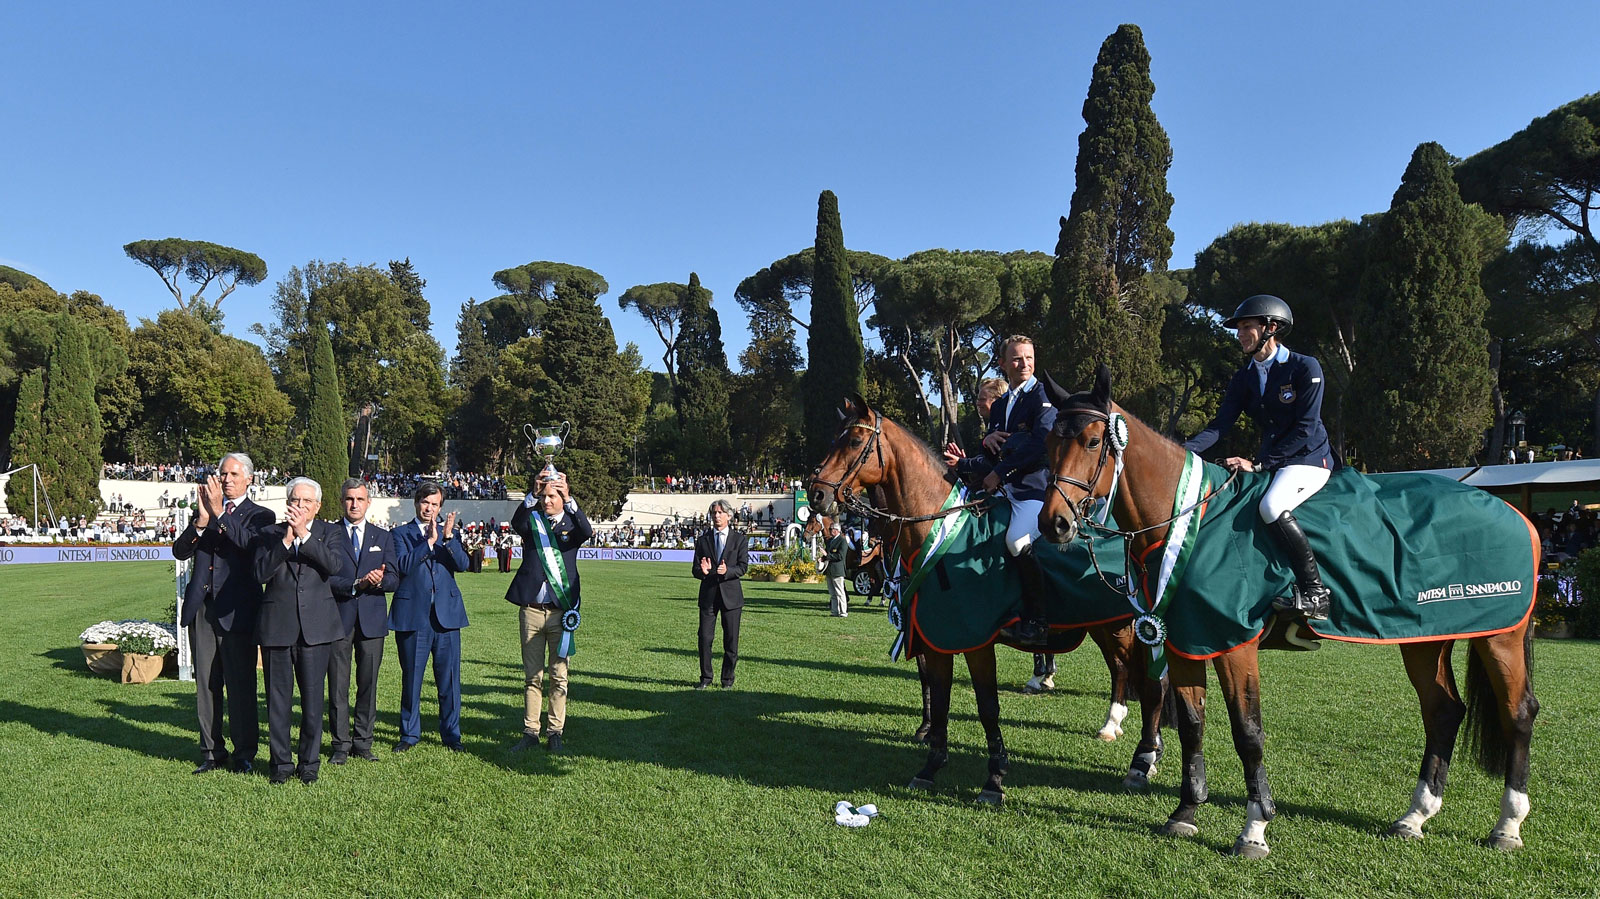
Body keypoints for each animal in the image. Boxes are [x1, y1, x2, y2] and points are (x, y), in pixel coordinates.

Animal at [812, 391, 1164, 796]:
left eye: (854, 441)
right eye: (833, 439)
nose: (815, 492)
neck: (940, 528)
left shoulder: (975, 641)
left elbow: (987, 705)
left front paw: (994, 778)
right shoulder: (936, 636)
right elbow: (941, 697)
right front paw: (930, 765)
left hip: (1128, 626)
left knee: (1152, 682)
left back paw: (1145, 757)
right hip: (1104, 624)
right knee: (1123, 670)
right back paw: (1117, 728)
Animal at [1036, 361, 1536, 851]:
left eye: (1093, 441)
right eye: (1049, 443)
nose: (1054, 524)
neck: (1189, 518)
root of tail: (1518, 514)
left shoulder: (1232, 644)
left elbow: (1247, 731)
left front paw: (1254, 828)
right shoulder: (1184, 640)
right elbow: (1194, 723)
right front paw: (1185, 813)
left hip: (1499, 636)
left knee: (1517, 713)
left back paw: (1507, 826)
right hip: (1424, 635)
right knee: (1443, 711)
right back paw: (1415, 816)